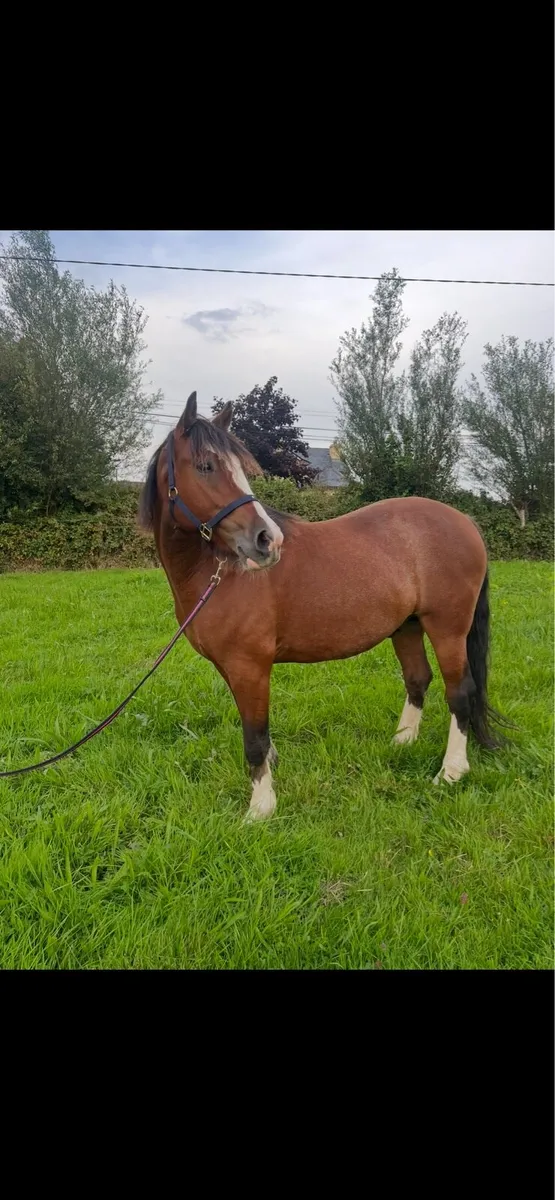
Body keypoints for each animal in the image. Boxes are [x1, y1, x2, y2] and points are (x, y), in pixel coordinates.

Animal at [139, 391, 506, 821]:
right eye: (205, 466)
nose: (267, 540)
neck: (218, 573)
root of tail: (464, 519)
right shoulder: (231, 669)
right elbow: (258, 732)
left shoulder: (250, 667)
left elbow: (254, 736)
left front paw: (260, 808)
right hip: (407, 626)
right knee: (418, 679)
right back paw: (402, 743)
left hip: (447, 628)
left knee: (460, 691)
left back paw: (451, 771)